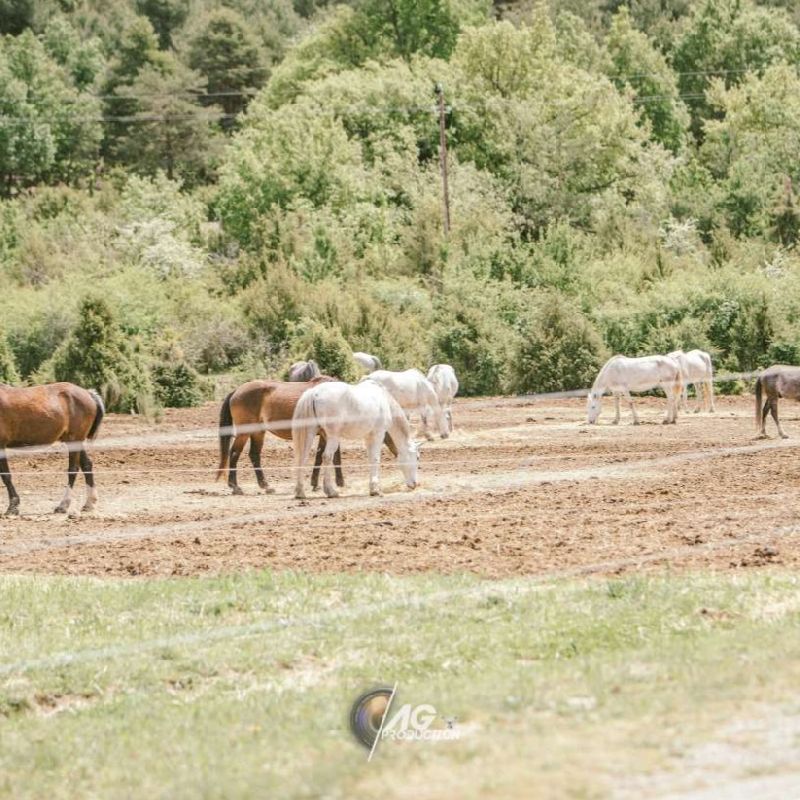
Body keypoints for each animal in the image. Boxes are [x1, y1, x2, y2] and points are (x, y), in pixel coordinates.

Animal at [0, 382, 104, 520]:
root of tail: (88, 393)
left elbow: (6, 476)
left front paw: (12, 508)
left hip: (74, 440)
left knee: (73, 469)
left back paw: (63, 505)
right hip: (76, 441)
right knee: (87, 465)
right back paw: (89, 503)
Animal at [217, 376, 346, 494]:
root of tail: (236, 391)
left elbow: (320, 456)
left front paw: (315, 484)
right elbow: (335, 456)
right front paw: (340, 482)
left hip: (258, 432)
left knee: (254, 455)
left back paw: (265, 486)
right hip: (244, 433)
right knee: (234, 453)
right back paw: (235, 487)